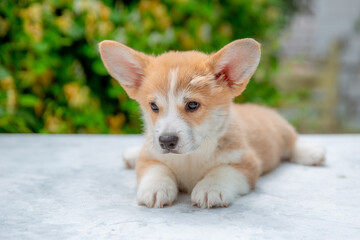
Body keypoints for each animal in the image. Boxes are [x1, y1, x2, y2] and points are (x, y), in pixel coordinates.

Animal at [99, 39, 326, 208]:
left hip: (282, 130)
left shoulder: (246, 163)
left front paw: (210, 189)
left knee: (293, 141)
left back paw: (312, 152)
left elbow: (222, 171)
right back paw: (131, 154)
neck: (190, 158)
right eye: (154, 106)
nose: (166, 141)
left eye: (192, 105)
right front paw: (156, 188)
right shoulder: (150, 157)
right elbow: (157, 169)